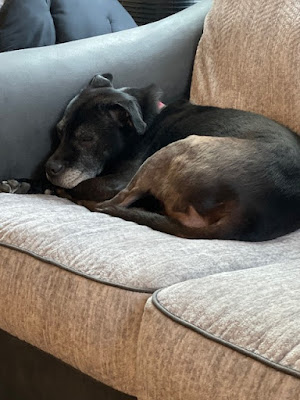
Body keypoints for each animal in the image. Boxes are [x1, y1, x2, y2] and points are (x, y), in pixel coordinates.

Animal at [2, 72, 300, 241]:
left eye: (86, 139)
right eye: (60, 131)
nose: (50, 168)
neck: (141, 124)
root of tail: (250, 215)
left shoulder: (118, 180)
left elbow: (82, 185)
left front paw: (45, 186)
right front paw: (22, 183)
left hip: (174, 150)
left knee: (109, 203)